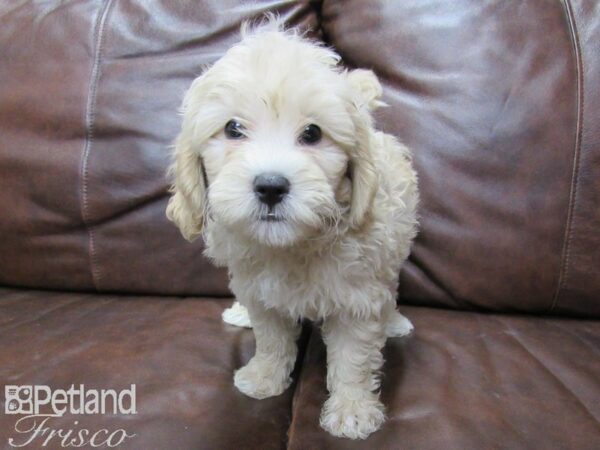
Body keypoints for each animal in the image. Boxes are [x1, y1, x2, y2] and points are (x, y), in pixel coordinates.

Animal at [164, 19, 418, 438]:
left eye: (313, 133)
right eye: (233, 128)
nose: (270, 186)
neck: (293, 244)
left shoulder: (360, 295)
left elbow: (353, 354)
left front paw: (352, 409)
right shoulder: (261, 289)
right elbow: (271, 338)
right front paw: (265, 377)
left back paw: (394, 321)